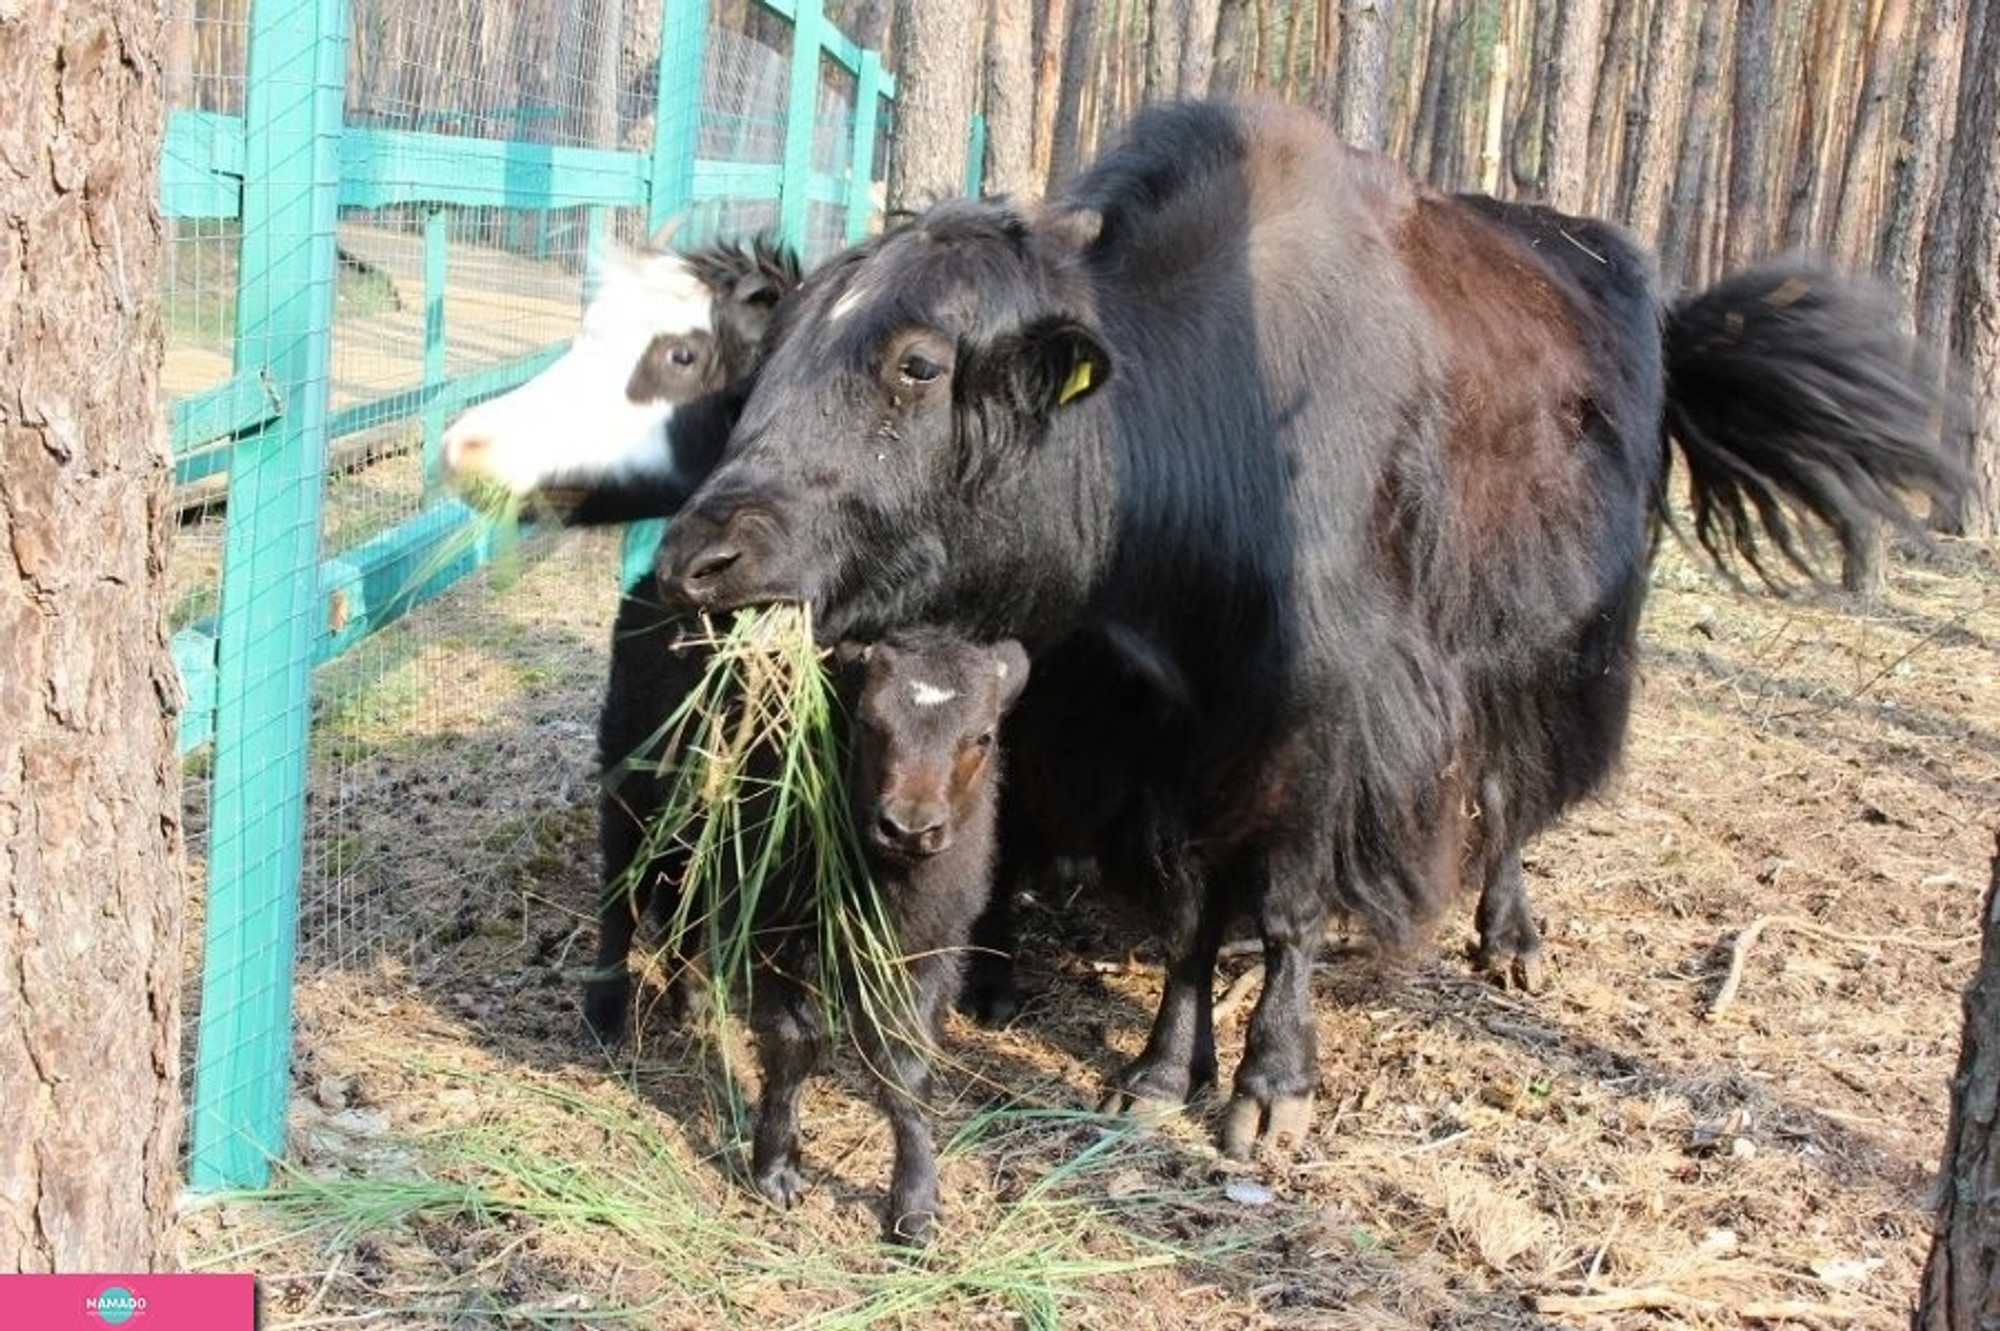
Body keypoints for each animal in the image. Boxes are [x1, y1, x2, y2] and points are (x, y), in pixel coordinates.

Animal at [660, 98, 1968, 1159]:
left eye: (918, 364)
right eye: (773, 352)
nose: (699, 558)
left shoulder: (1320, 720)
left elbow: (1287, 898)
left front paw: (1267, 1091)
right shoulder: (1162, 737)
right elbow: (1186, 911)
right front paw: (1156, 1072)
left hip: (1546, 645)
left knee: (1507, 792)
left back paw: (1508, 938)